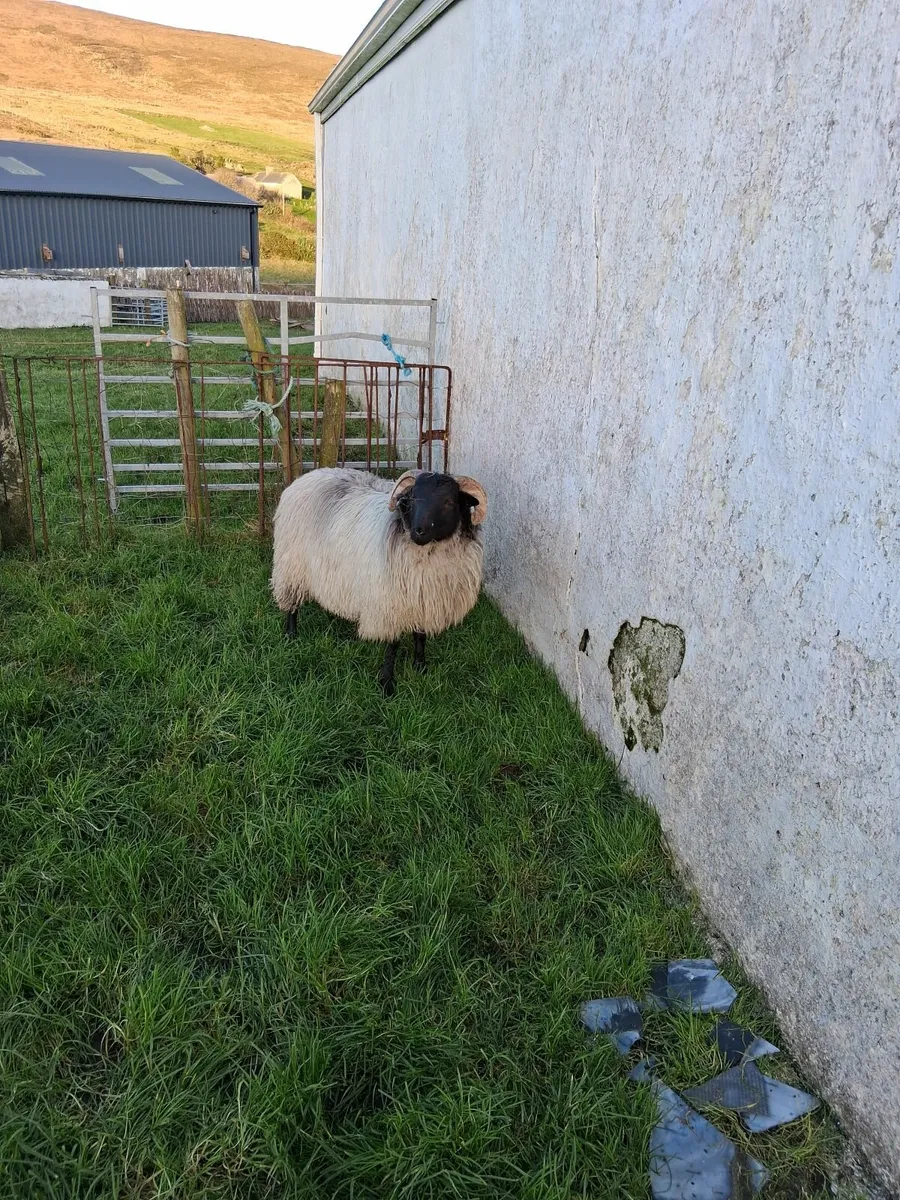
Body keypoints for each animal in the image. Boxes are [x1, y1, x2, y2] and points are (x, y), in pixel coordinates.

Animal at [271, 467, 488, 695]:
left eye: (449, 502)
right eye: (411, 499)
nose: (418, 531)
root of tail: (310, 474)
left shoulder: (421, 600)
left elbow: (420, 636)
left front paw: (420, 667)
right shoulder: (389, 605)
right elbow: (392, 647)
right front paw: (387, 684)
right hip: (291, 566)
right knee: (291, 604)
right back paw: (291, 635)